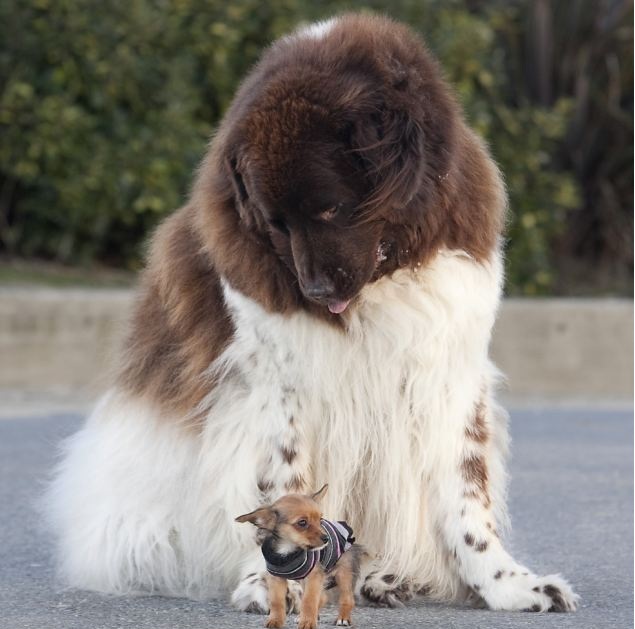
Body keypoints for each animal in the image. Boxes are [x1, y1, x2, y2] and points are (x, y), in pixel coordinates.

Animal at [236, 484, 360, 624]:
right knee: (323, 597)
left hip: (343, 574)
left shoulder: (314, 576)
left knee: (347, 598)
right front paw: (275, 620)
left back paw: (343, 618)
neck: (287, 551)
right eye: (302, 523)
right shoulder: (276, 579)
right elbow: (276, 602)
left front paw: (307, 622)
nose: (326, 538)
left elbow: (309, 600)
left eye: (320, 520)